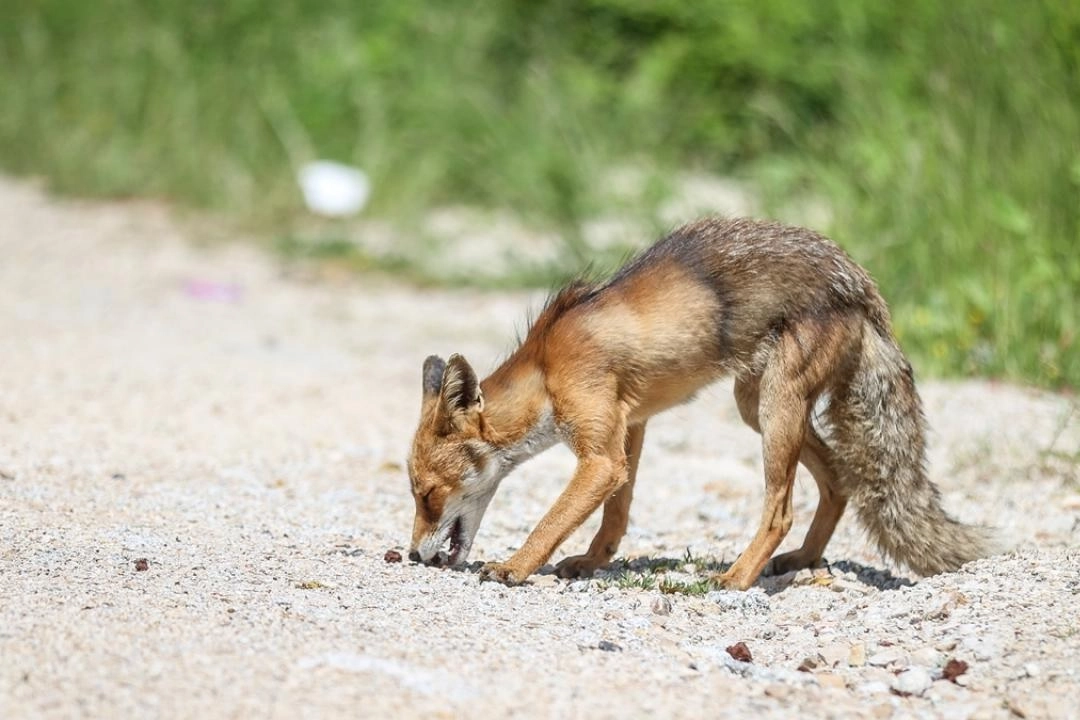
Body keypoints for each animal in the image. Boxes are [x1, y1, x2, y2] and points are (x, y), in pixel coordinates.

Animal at [403, 216, 989, 587]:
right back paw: (804, 558)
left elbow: (551, 520)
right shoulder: (629, 430)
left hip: (775, 408)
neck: (547, 368)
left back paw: (737, 578)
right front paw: (592, 562)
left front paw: (517, 567)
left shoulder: (599, 455)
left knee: (780, 510)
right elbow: (615, 515)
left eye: (427, 495)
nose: (411, 555)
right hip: (757, 407)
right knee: (840, 480)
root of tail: (861, 284)